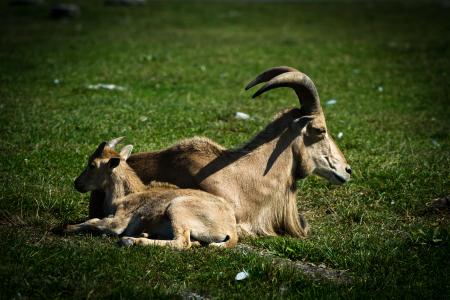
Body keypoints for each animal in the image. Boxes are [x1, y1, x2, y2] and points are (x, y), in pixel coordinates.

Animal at [68, 142, 237, 248]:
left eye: (92, 165)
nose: (77, 183)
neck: (124, 196)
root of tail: (231, 229)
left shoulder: (120, 220)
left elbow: (95, 222)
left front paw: (67, 227)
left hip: (178, 208)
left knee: (182, 242)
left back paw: (131, 240)